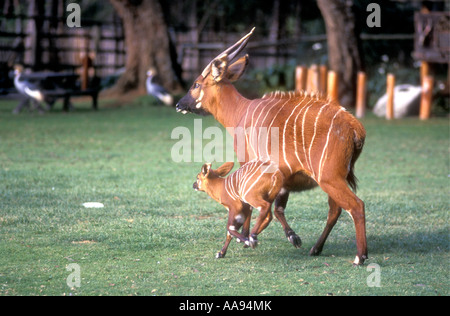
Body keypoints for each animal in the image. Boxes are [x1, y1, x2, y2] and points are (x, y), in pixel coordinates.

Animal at [177, 27, 370, 266]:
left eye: (196, 84)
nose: (179, 104)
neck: (241, 111)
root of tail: (355, 127)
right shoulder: (282, 178)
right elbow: (277, 208)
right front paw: (291, 237)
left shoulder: (249, 163)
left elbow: (251, 205)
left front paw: (247, 238)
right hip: (334, 179)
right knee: (335, 210)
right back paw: (316, 248)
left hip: (330, 178)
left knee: (356, 206)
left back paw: (360, 257)